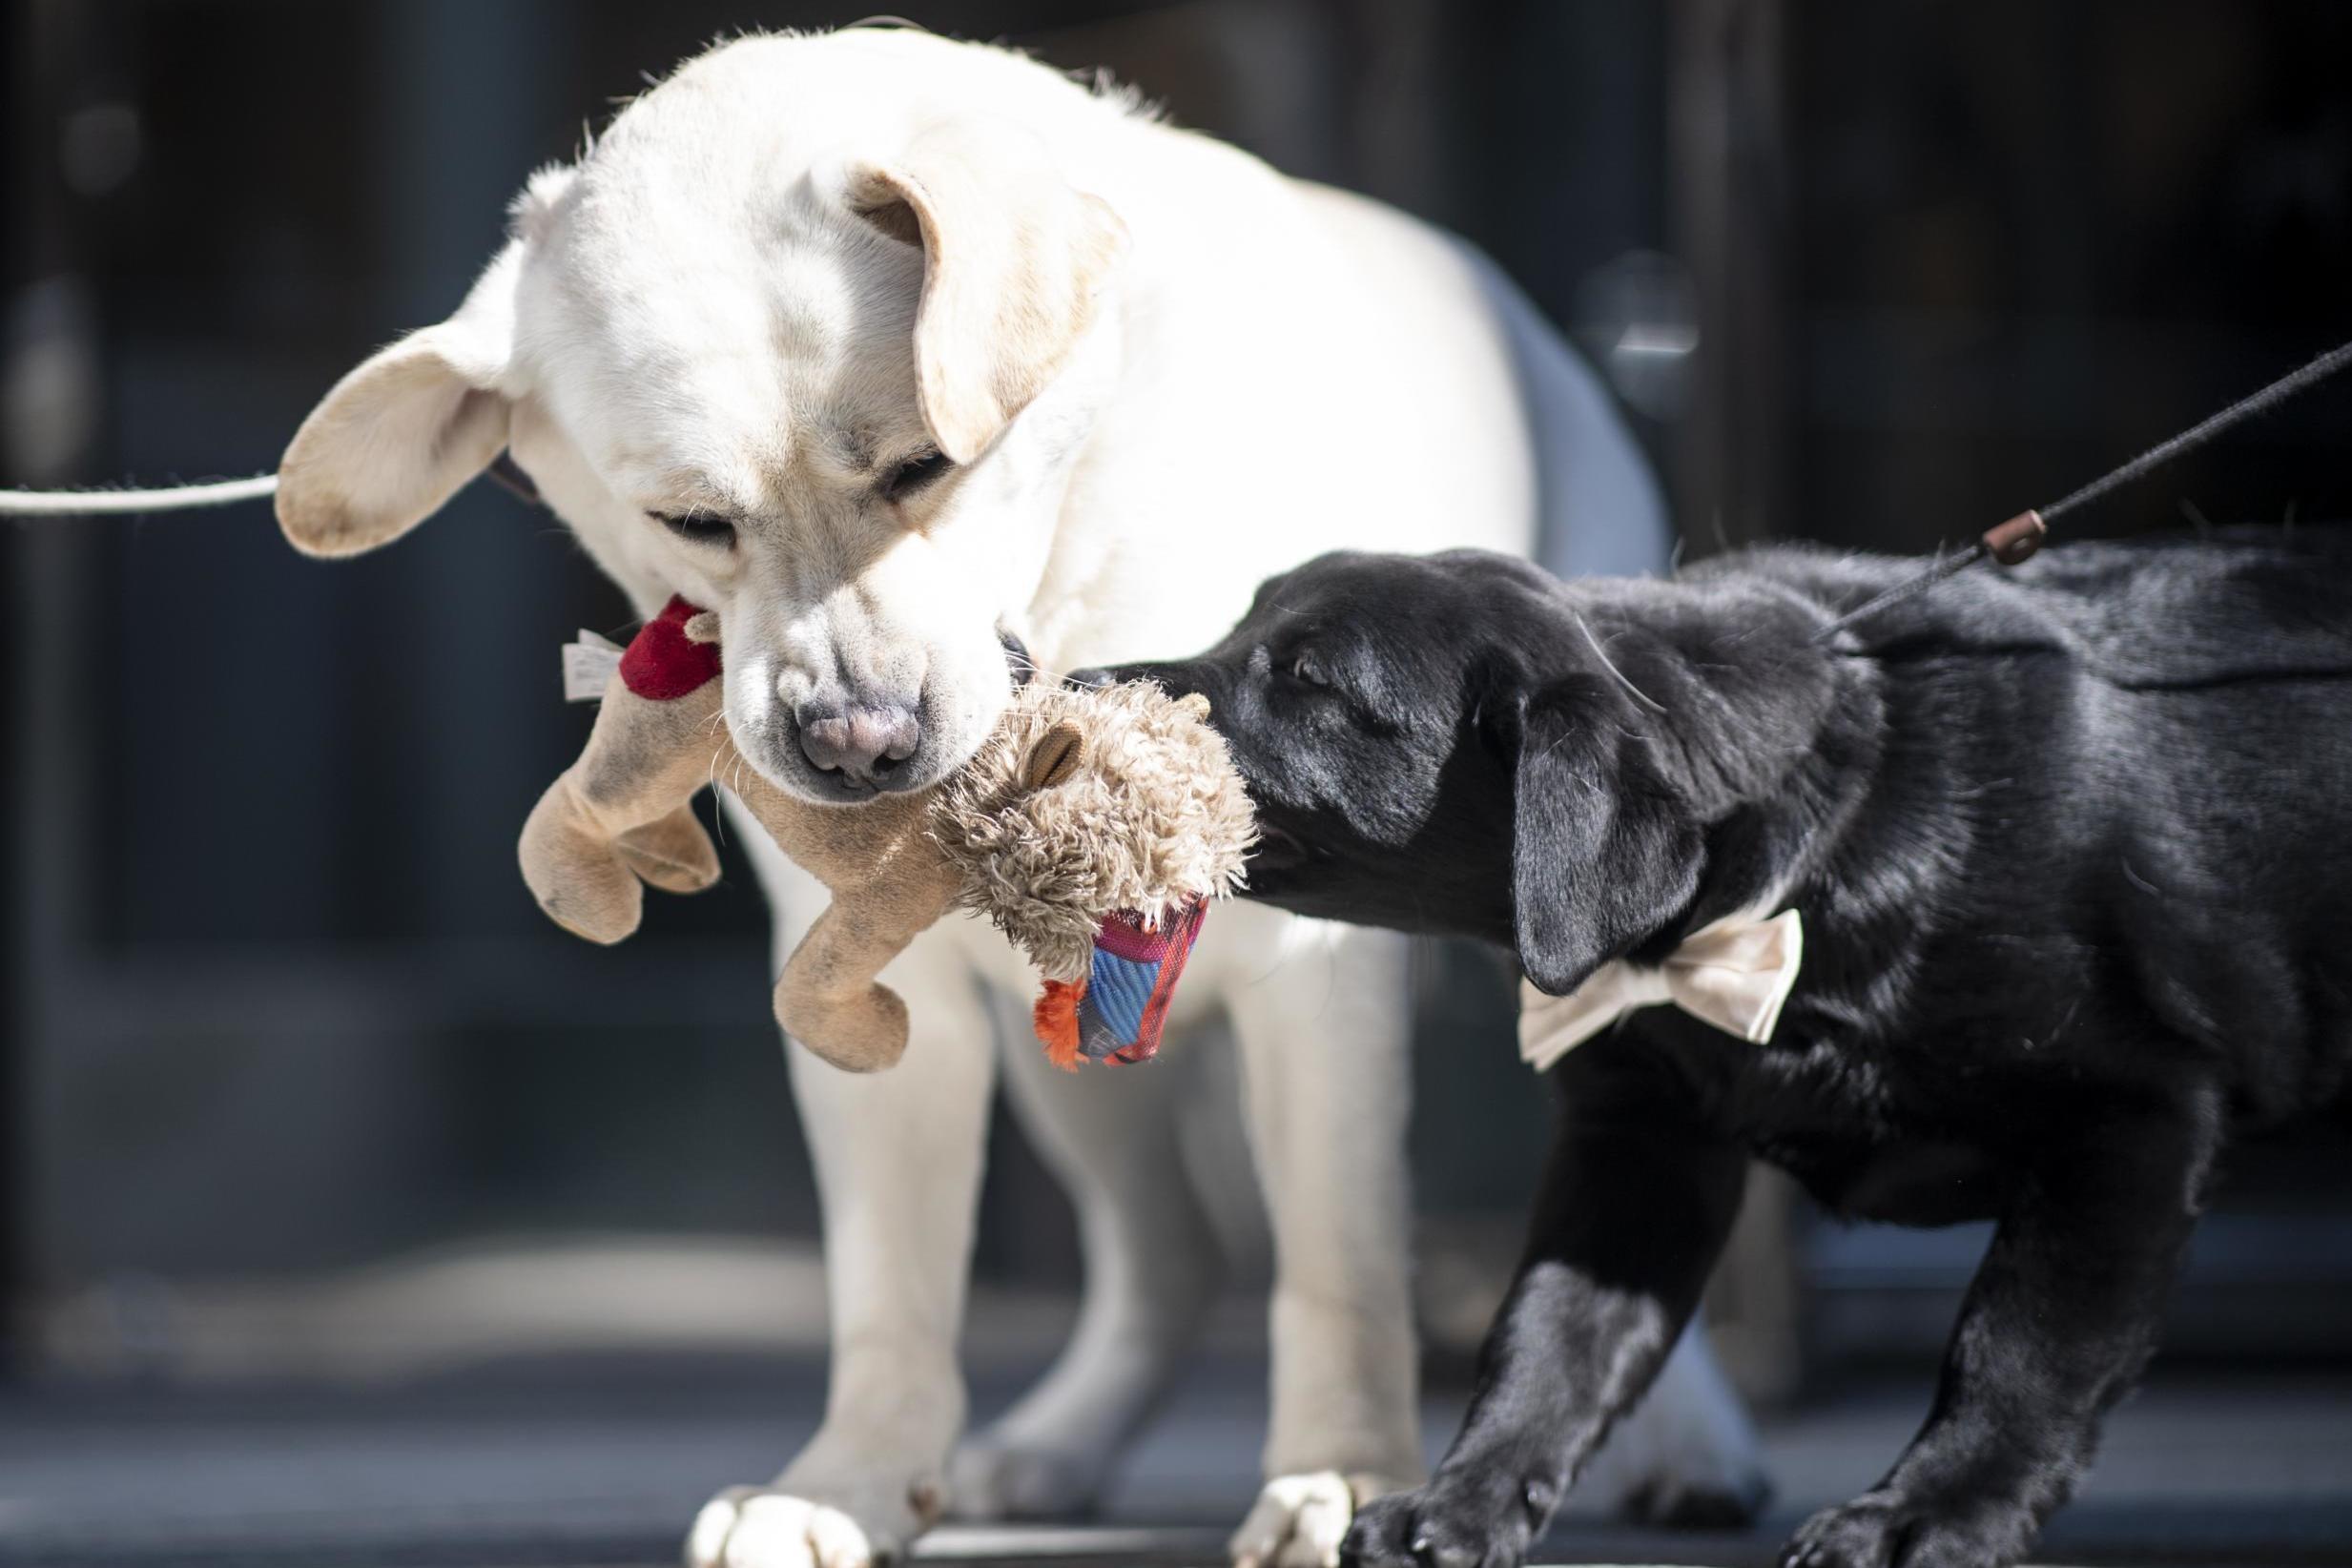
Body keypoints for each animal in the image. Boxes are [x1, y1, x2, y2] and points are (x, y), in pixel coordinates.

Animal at [270, 24, 1768, 1568]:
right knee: (1171, 1259)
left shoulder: (1314, 975)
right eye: (691, 522)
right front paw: (850, 1485)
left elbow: (1339, 1260)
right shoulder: (883, 996)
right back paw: (1056, 1444)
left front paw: (1346, 1472)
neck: (1067, 580)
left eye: (927, 465)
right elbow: (890, 1288)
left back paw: (1695, 1442)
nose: (855, 745)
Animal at [1096, 533, 2352, 1568]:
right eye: (1242, 628)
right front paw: (1462, 1502)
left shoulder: (2133, 1112)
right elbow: (1549, 1338)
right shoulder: (1641, 1144)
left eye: (1309, 679)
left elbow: (2017, 1350)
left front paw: (1925, 1516)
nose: (1079, 682)